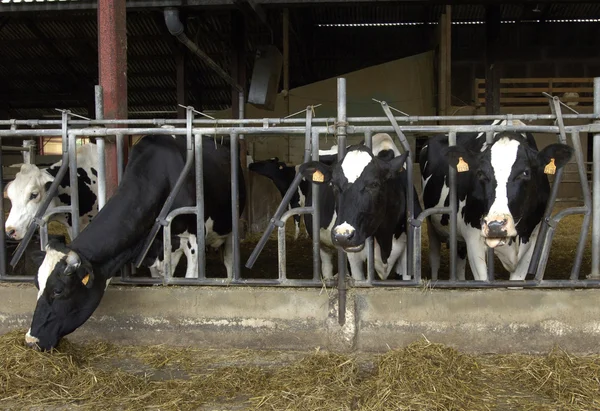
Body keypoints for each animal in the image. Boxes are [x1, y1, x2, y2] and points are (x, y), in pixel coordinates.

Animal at [24, 135, 246, 350]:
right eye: (37, 284)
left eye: (58, 290)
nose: (31, 339)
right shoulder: (154, 251)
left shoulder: (193, 238)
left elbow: (191, 279)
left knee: (229, 261)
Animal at [296, 134, 420, 282]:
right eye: (333, 184)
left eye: (374, 184)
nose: (342, 235)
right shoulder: (354, 257)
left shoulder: (408, 256)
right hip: (323, 244)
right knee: (327, 265)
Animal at [420, 123, 576, 284]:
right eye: (481, 173)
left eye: (525, 173)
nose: (496, 225)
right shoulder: (473, 239)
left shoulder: (530, 240)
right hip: (433, 225)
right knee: (435, 258)